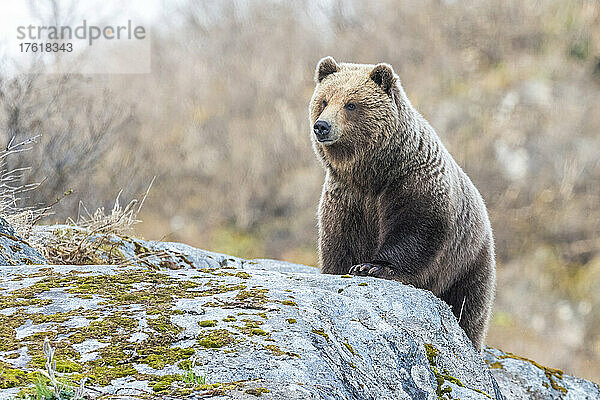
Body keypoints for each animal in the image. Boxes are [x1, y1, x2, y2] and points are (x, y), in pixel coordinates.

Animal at [312, 56, 494, 350]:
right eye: (325, 100)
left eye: (351, 104)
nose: (322, 126)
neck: (373, 172)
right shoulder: (346, 197)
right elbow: (339, 240)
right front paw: (344, 268)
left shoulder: (412, 183)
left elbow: (414, 229)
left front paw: (371, 266)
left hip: (467, 263)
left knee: (469, 307)